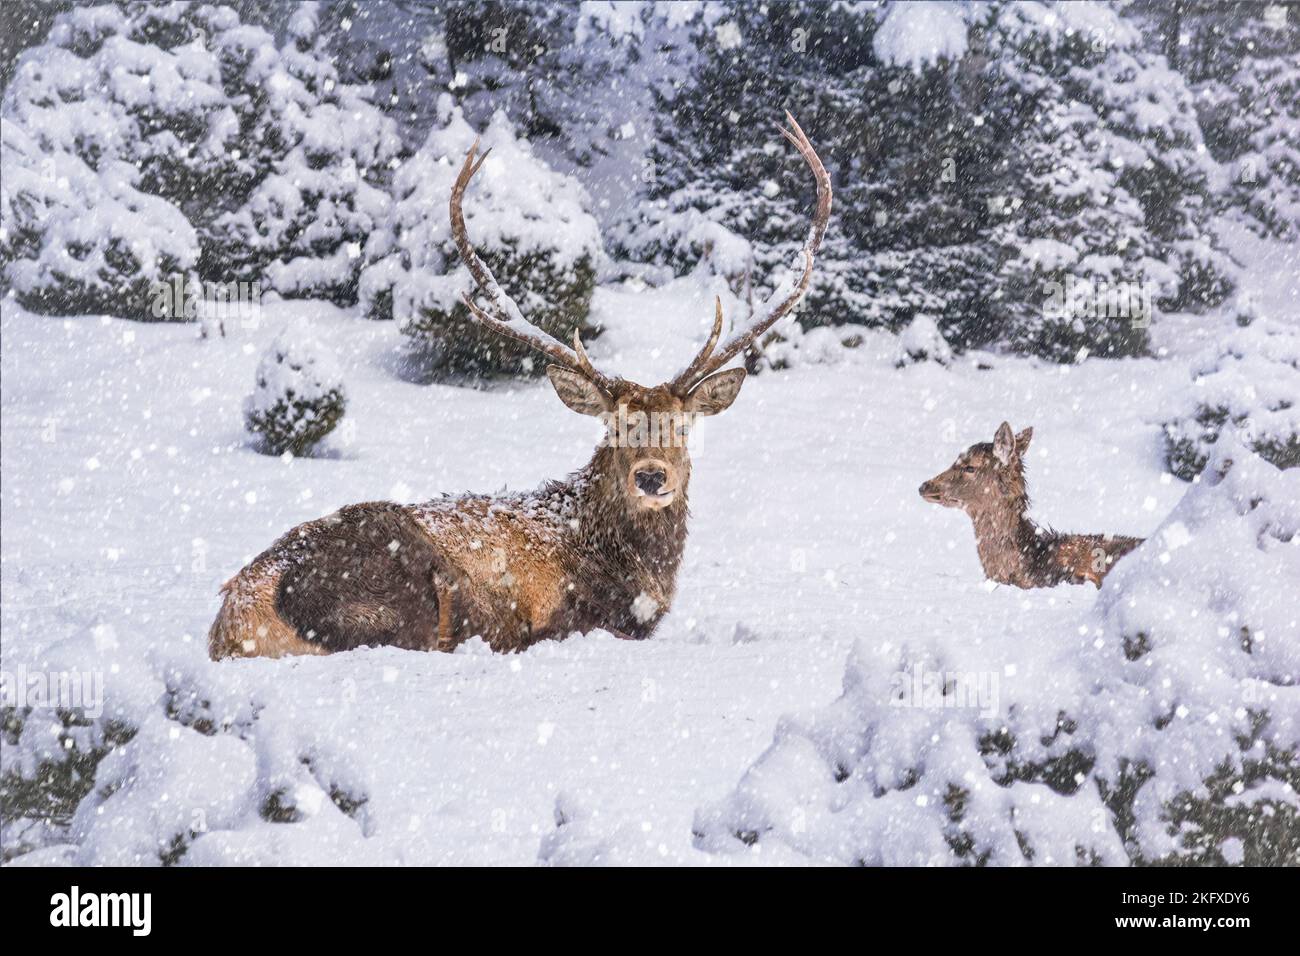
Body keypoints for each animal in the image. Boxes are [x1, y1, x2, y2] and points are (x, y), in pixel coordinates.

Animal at [206, 111, 826, 658]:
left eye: (681, 424)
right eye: (616, 425)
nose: (652, 477)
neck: (633, 573)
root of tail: (235, 619)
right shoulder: (570, 617)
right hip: (400, 583)